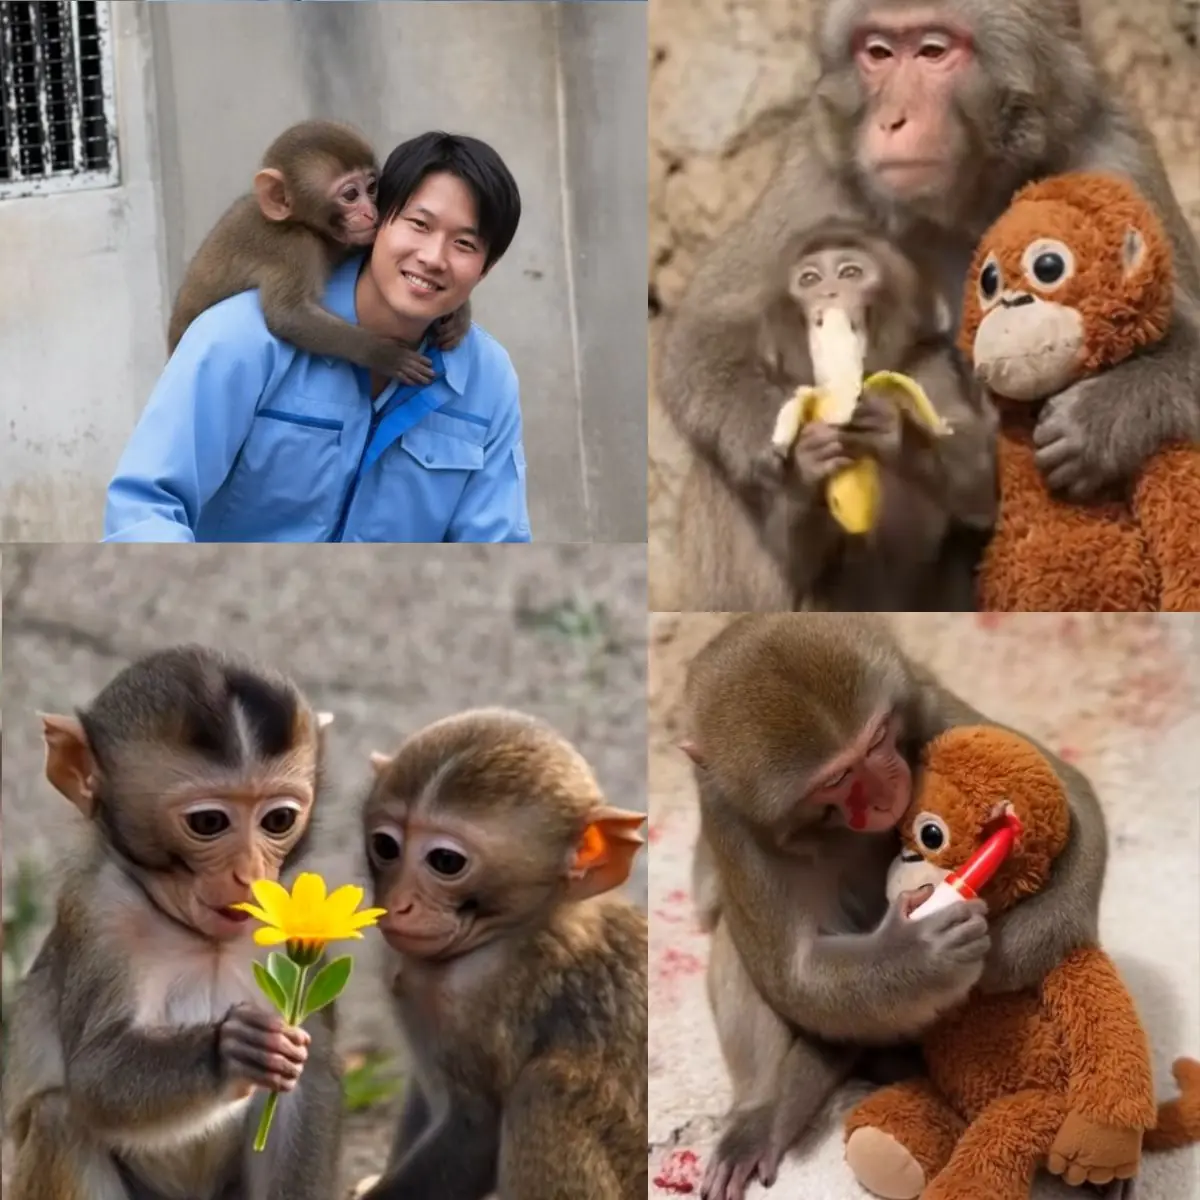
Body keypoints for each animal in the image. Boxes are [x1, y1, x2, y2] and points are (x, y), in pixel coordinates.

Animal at [3, 645, 344, 1200]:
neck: (201, 939)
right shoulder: (99, 916)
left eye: (278, 820)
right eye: (208, 823)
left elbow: (309, 1081)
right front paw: (231, 1048)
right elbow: (94, 1078)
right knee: (59, 1119)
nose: (250, 872)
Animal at [168, 119, 470, 385]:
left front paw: (459, 314)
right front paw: (385, 354)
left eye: (372, 187)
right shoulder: (295, 247)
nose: (369, 213)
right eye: (351, 195)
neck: (298, 222)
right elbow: (288, 315)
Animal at [354, 708, 647, 1200]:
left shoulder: (479, 1006)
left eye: (446, 861)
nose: (400, 903)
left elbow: (476, 1132)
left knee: (544, 1090)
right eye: (385, 846)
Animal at [679, 614, 1108, 1200]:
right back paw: (762, 1112)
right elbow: (792, 976)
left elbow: (1071, 792)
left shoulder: (922, 700)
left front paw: (1008, 955)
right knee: (733, 942)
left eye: (879, 738)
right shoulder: (728, 816)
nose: (887, 794)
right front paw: (921, 954)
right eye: (837, 777)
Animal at [685, 218, 997, 612]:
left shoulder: (929, 367)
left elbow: (980, 484)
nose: (829, 293)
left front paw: (893, 429)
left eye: (850, 273)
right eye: (809, 279)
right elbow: (794, 560)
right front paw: (808, 465)